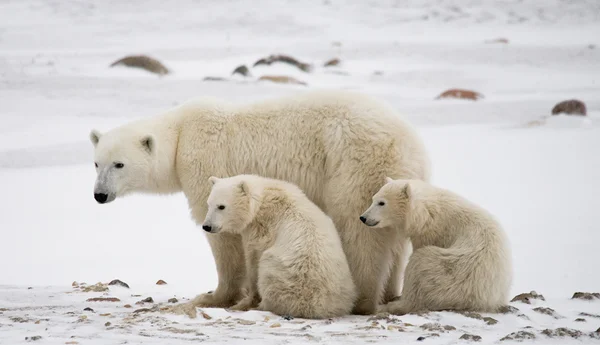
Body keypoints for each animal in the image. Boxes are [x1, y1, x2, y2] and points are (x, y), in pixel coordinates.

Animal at [204, 173, 358, 318]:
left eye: (221, 206)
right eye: (209, 204)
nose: (207, 226)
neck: (262, 200)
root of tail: (315, 306)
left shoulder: (262, 229)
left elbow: (254, 260)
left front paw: (245, 302)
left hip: (284, 274)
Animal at [358, 179, 512, 314]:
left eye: (382, 203)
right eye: (373, 199)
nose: (363, 218)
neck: (425, 212)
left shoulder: (433, 233)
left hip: (453, 273)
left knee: (419, 266)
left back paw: (391, 306)